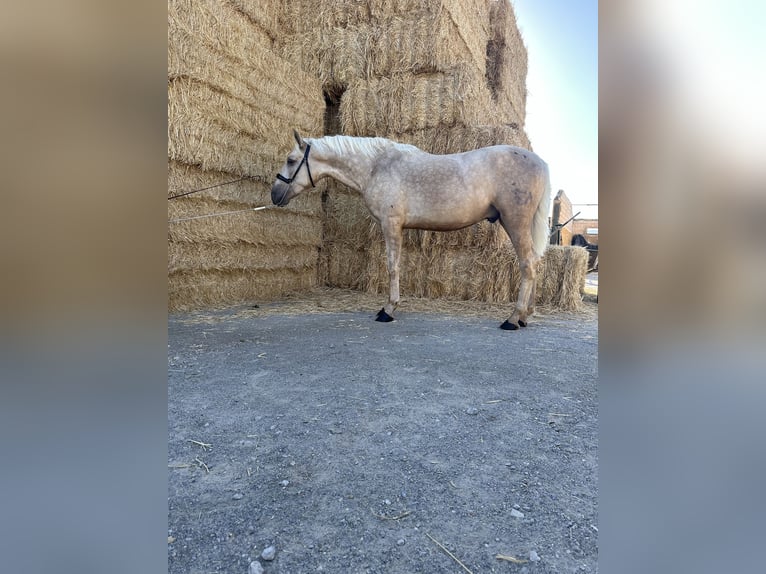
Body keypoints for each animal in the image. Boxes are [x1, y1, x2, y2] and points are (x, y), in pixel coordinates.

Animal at [276, 129, 552, 328]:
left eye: (291, 160)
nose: (274, 194)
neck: (376, 166)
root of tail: (540, 161)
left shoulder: (391, 223)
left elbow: (392, 266)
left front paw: (388, 310)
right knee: (535, 264)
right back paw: (525, 316)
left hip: (515, 222)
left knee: (528, 266)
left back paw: (513, 319)